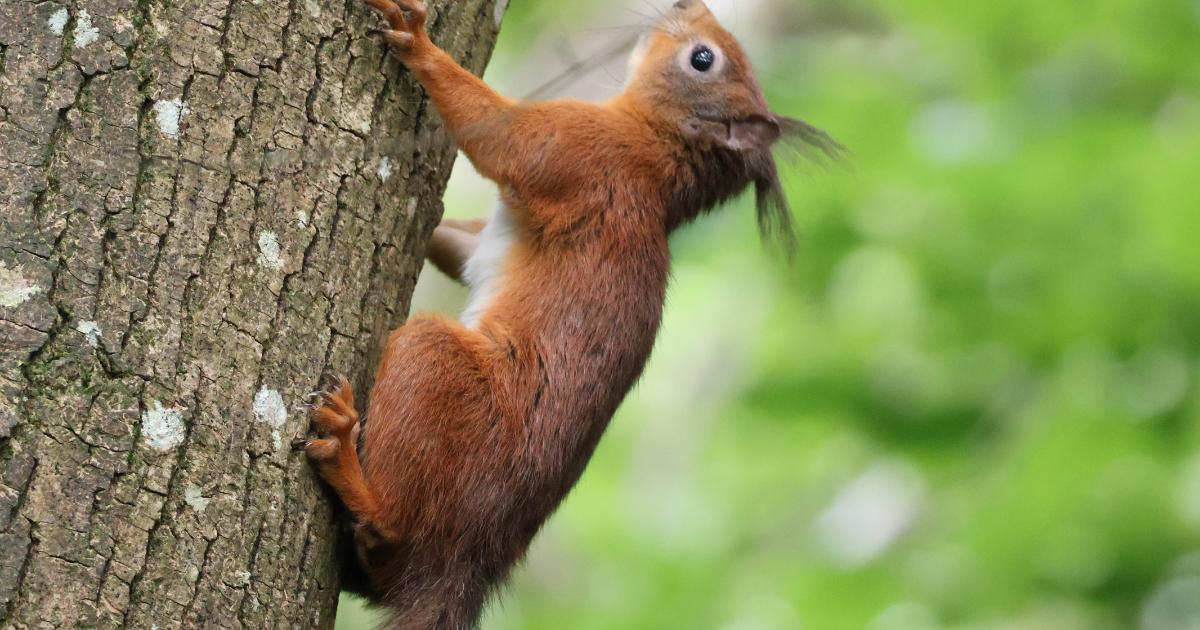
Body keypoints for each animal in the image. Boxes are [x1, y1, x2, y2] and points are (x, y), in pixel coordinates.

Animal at [300, 1, 840, 628]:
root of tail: (458, 567)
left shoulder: (581, 151)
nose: (688, 7)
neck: (653, 154)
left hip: (437, 370)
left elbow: (504, 138)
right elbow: (462, 247)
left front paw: (419, 40)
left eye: (702, 59)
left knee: (388, 521)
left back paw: (346, 456)